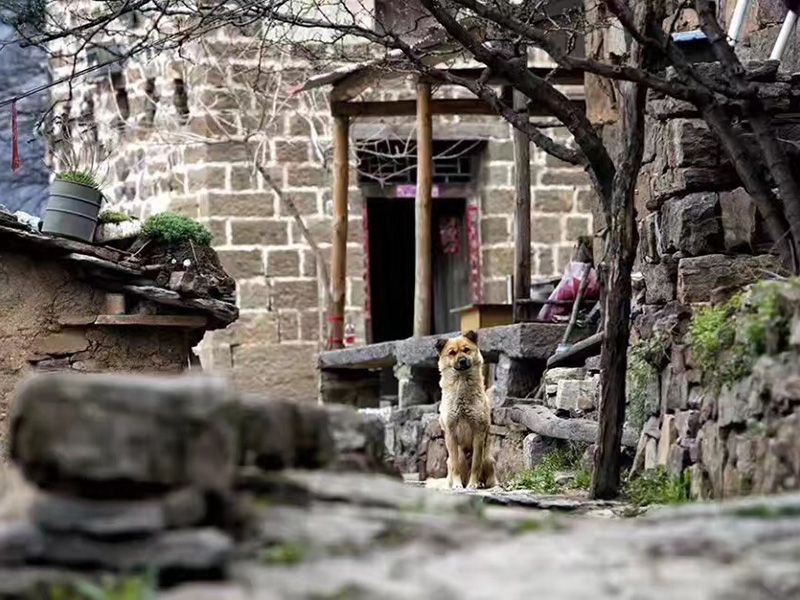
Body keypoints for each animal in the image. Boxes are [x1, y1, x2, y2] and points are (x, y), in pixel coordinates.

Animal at [434, 330, 496, 490]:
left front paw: (473, 484)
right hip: (458, 456)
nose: (462, 360)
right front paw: (457, 485)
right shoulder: (450, 434)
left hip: (487, 458)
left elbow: (476, 464)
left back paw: (483, 484)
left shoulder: (479, 433)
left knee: (489, 477)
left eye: (466, 350)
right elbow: (455, 466)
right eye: (452, 353)